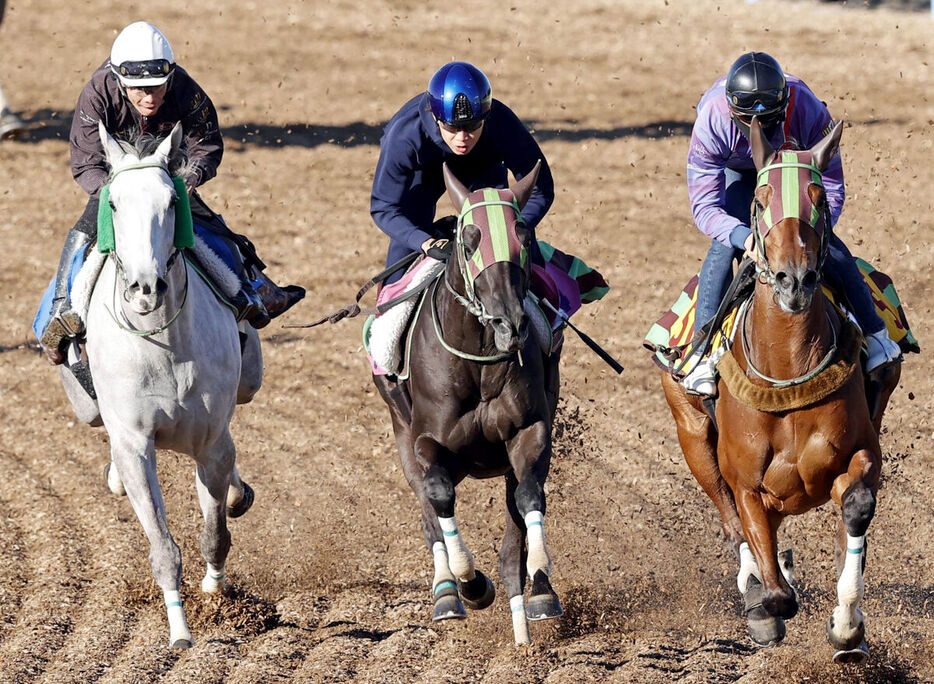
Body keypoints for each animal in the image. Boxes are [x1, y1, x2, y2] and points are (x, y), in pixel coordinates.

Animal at [372, 162, 564, 648]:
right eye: (471, 238)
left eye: (523, 236)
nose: (509, 323)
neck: (477, 359)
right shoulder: (425, 440)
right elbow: (439, 496)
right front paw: (469, 583)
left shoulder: (530, 431)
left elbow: (528, 497)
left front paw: (539, 589)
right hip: (400, 432)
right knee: (428, 509)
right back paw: (447, 591)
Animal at [660, 117, 904, 664]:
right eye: (760, 195)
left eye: (818, 196)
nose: (794, 279)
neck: (788, 366)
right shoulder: (748, 483)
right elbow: (771, 583)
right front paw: (764, 600)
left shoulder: (856, 456)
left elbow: (857, 507)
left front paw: (846, 627)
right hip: (692, 435)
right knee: (733, 524)